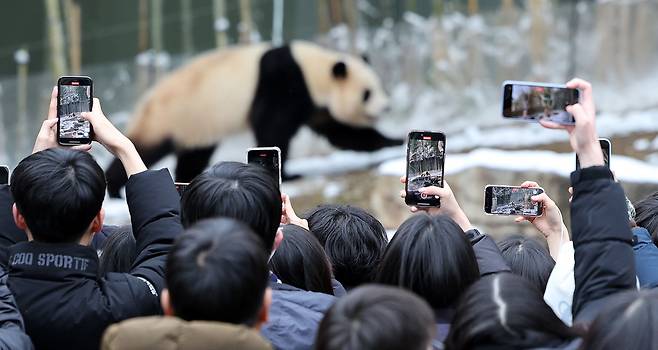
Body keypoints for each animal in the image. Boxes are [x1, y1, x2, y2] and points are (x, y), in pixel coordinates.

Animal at [105, 41, 402, 197]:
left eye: (381, 87)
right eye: (367, 93)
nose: (387, 107)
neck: (315, 69)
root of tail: (145, 100)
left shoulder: (316, 105)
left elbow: (342, 133)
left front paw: (394, 142)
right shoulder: (284, 82)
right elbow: (273, 126)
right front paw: (289, 173)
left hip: (197, 126)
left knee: (194, 154)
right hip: (171, 117)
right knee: (143, 147)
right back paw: (116, 188)